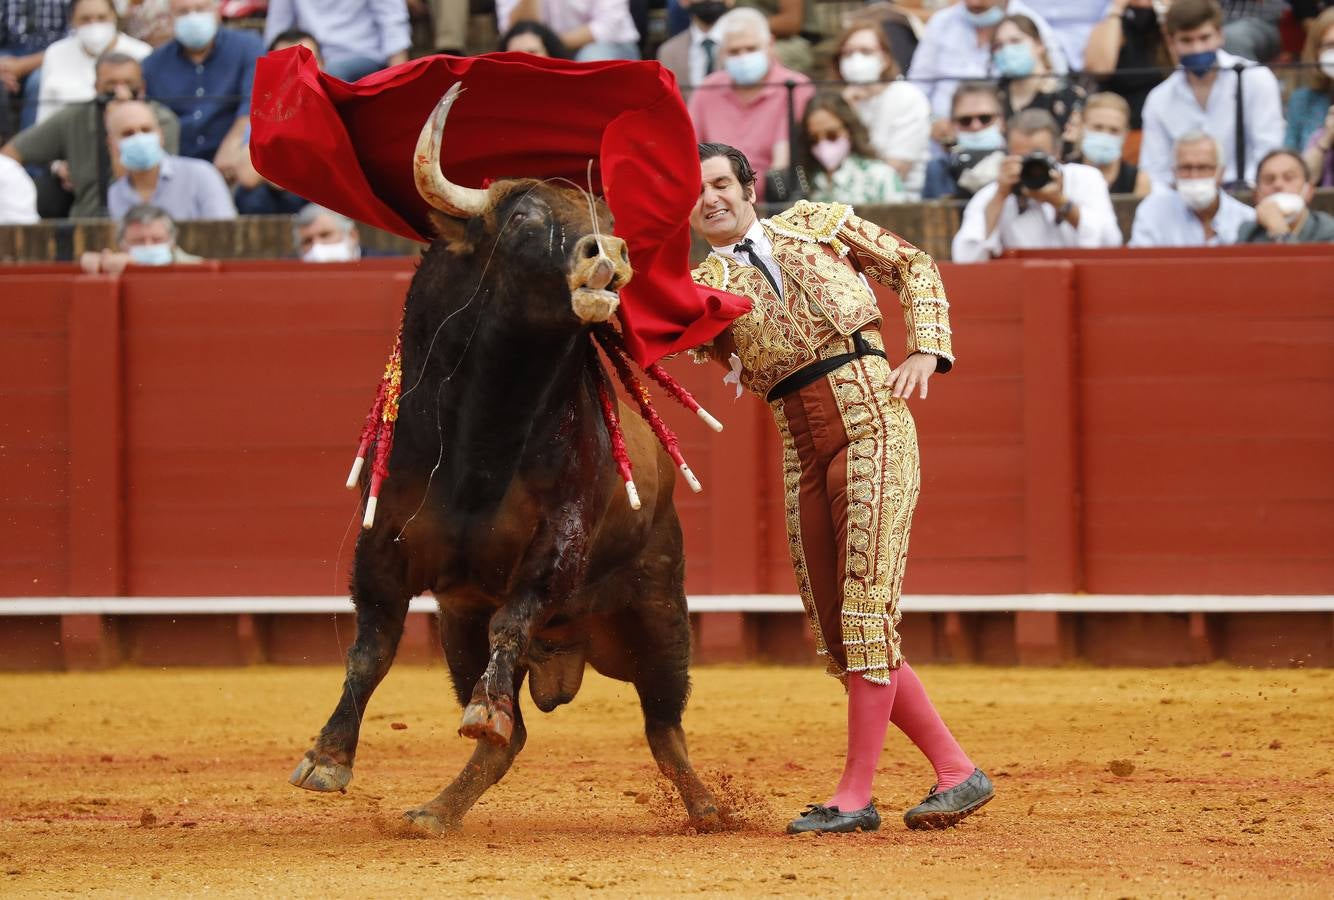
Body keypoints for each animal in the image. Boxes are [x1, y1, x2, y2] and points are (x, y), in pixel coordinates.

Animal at [288, 88, 725, 832]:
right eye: (524, 217)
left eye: (610, 219)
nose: (609, 253)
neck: (484, 436)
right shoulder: (384, 547)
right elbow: (372, 648)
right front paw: (327, 758)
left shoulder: (559, 547)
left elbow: (513, 619)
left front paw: (479, 712)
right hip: (458, 630)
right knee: (516, 737)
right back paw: (435, 812)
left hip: (660, 610)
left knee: (664, 725)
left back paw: (709, 810)